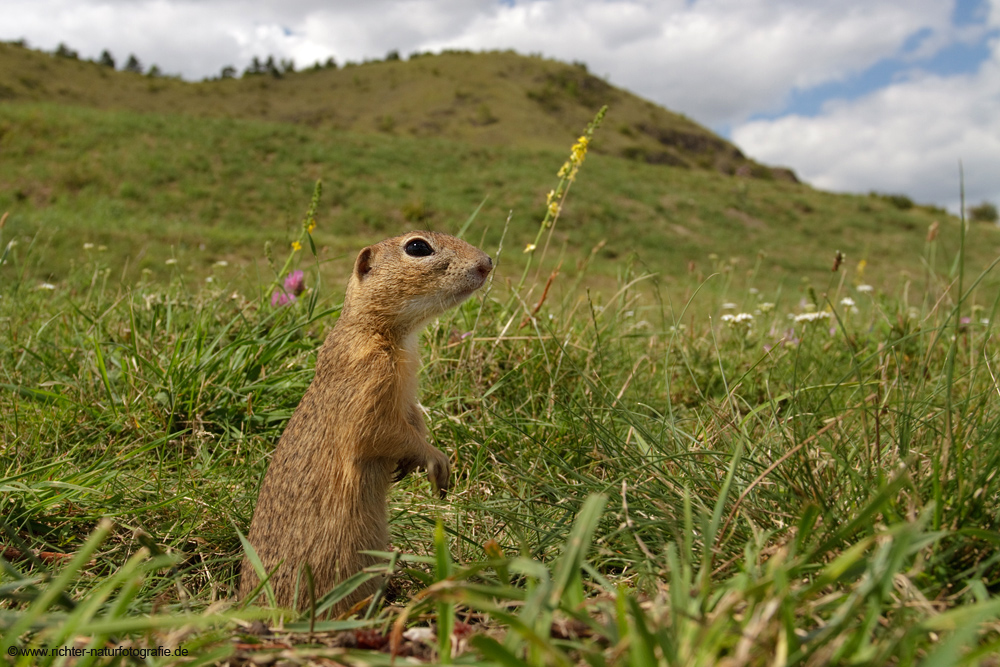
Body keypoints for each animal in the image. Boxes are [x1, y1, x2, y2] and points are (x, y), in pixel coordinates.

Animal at [239, 231, 496, 616]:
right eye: (417, 247)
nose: (487, 262)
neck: (383, 332)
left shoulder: (406, 399)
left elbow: (415, 421)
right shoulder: (367, 390)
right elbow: (381, 433)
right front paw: (436, 463)